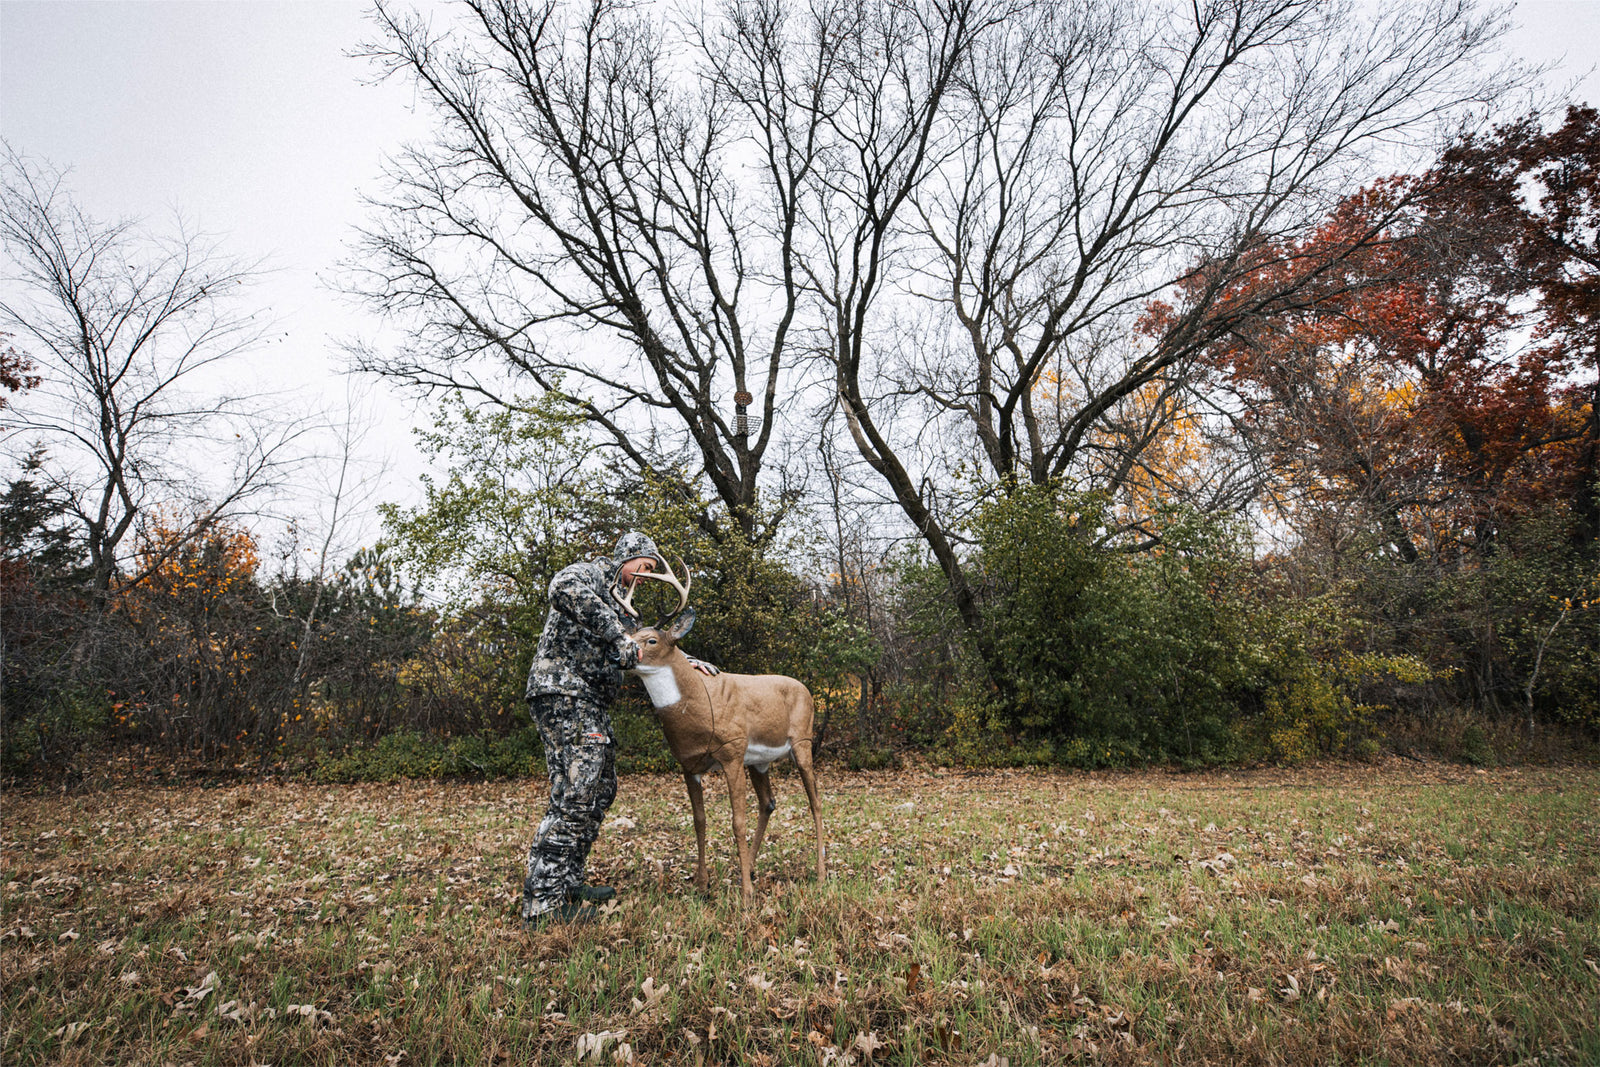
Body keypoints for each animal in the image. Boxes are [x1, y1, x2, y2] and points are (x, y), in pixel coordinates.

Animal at [617, 559, 825, 902]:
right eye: (629, 635)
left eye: (651, 640)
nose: (622, 654)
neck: (699, 705)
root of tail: (806, 689)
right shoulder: (689, 764)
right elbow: (699, 821)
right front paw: (702, 885)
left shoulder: (731, 752)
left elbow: (736, 821)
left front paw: (747, 896)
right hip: (759, 761)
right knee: (769, 802)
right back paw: (750, 868)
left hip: (802, 741)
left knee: (815, 801)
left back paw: (818, 873)